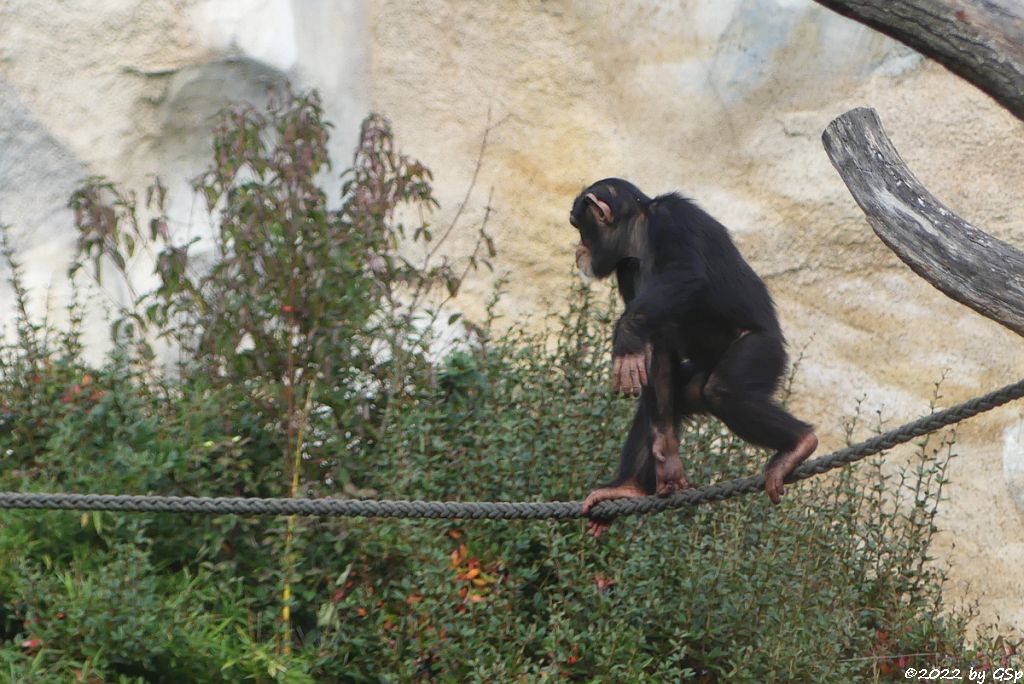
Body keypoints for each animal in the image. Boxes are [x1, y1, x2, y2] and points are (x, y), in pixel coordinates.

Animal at [573, 178, 819, 540]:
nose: (578, 250)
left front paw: (625, 335)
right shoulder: (627, 271)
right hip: (696, 378)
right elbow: (654, 343)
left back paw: (798, 444)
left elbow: (686, 273)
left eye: (579, 228)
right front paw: (666, 455)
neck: (639, 234)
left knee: (723, 391)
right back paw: (627, 487)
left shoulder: (674, 219)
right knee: (670, 402)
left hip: (763, 351)